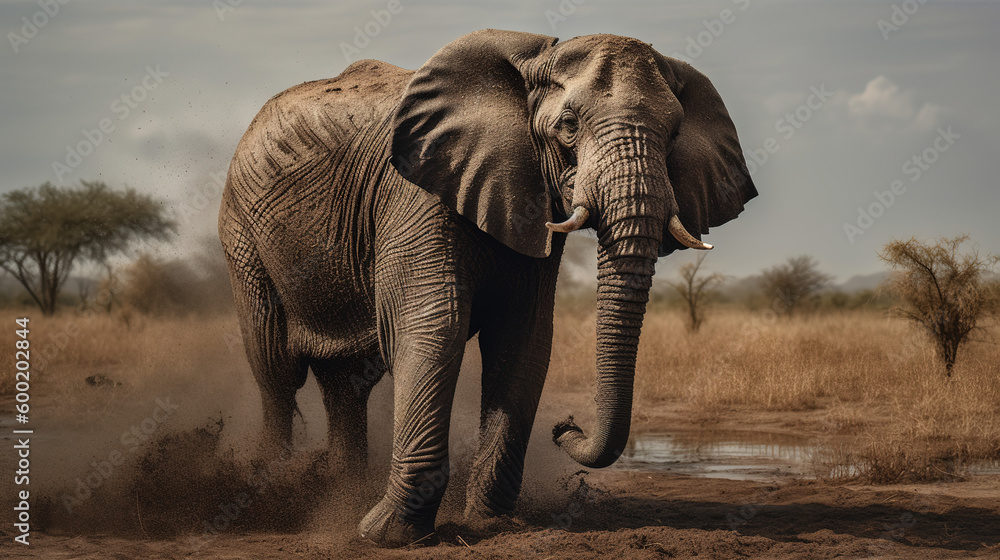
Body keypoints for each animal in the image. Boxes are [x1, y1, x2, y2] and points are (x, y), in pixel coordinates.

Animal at [218, 29, 756, 546]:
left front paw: (490, 523)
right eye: (567, 126)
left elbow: (524, 341)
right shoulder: (415, 196)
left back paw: (340, 494)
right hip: (242, 234)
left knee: (345, 382)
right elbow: (432, 330)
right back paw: (272, 492)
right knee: (275, 368)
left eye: (674, 134)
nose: (566, 425)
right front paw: (386, 536)